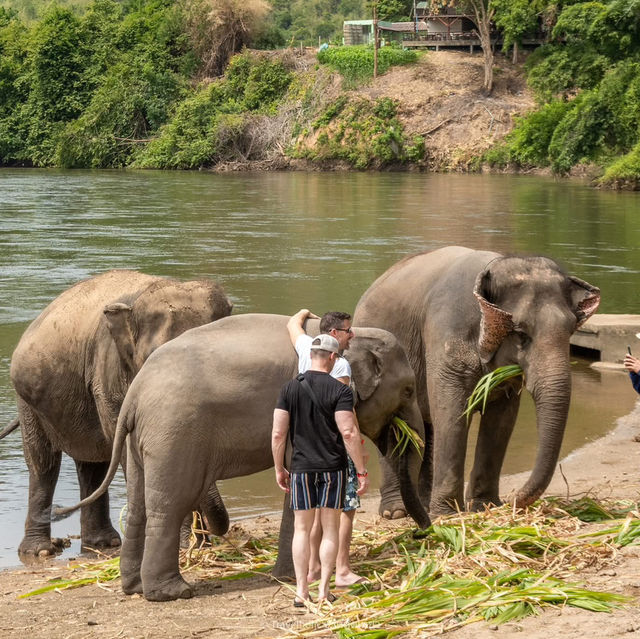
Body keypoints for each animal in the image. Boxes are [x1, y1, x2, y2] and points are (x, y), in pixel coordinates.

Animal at [8, 270, 234, 556]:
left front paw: (196, 545)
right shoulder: (109, 372)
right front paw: (185, 547)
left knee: (93, 465)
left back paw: (104, 544)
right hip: (28, 401)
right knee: (43, 463)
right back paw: (41, 551)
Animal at [57, 312, 430, 604]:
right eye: (408, 390)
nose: (423, 534)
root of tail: (135, 392)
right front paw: (292, 578)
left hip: (142, 440)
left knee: (138, 505)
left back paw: (134, 588)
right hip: (175, 433)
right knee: (170, 504)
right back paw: (172, 593)